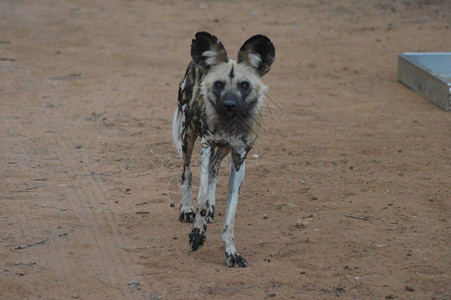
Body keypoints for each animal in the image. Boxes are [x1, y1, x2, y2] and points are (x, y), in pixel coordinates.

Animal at [171, 32, 274, 268]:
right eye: (218, 84)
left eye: (244, 85)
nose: (229, 105)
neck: (229, 124)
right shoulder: (207, 144)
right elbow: (200, 197)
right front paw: (197, 233)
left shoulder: (238, 158)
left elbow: (230, 216)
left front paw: (231, 252)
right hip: (188, 139)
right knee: (187, 173)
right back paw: (187, 210)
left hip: (221, 150)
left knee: (214, 171)